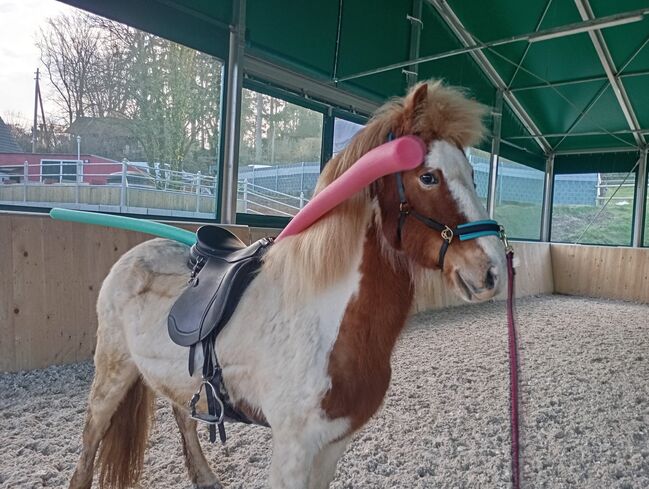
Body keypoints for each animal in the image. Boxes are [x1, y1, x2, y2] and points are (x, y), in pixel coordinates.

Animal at [69, 81, 506, 488]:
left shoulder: (332, 443)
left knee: (183, 417)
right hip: (112, 372)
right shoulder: (294, 446)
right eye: (428, 177)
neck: (324, 321)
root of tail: (132, 255)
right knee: (91, 439)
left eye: (472, 174)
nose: (494, 269)